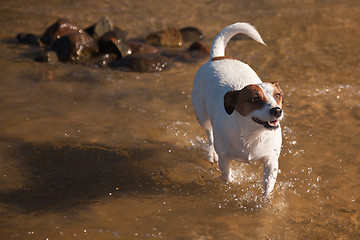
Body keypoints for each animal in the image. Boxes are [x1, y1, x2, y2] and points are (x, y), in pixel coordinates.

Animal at [191, 22, 284, 197]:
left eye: (278, 95)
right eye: (254, 99)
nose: (277, 111)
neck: (252, 135)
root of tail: (217, 58)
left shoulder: (271, 161)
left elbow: (268, 188)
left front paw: (265, 202)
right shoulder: (225, 160)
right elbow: (228, 178)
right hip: (202, 114)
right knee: (209, 133)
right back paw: (211, 152)